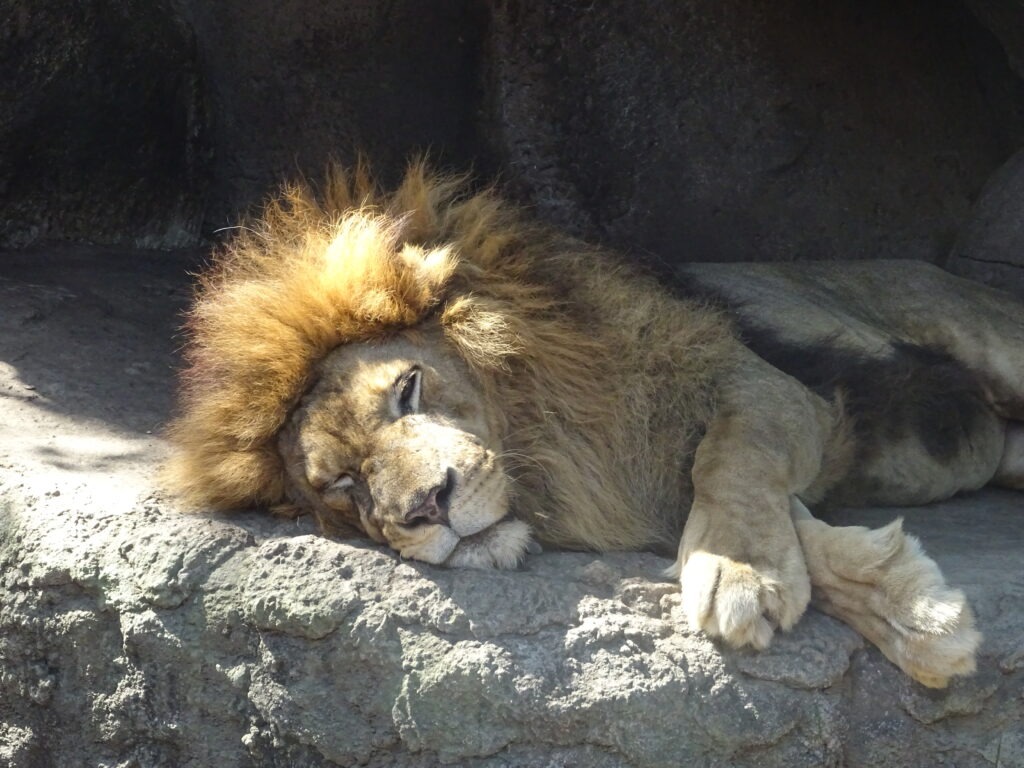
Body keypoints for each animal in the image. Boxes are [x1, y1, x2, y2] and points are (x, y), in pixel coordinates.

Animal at [163, 159, 1019, 688]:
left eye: (408, 389)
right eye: (341, 484)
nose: (428, 507)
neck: (545, 434)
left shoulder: (765, 388)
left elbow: (730, 461)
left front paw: (741, 570)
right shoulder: (640, 487)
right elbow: (794, 530)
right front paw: (912, 609)